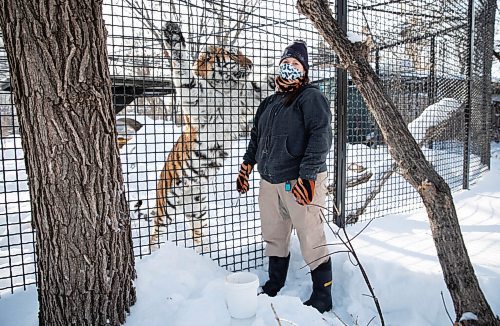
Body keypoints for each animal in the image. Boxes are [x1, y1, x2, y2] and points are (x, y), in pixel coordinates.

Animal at [148, 21, 272, 250]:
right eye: (232, 54)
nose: (251, 63)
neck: (227, 89)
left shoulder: (250, 94)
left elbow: (267, 81)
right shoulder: (194, 97)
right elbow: (183, 69)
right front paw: (173, 35)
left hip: (198, 209)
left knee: (198, 235)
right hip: (166, 206)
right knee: (156, 236)